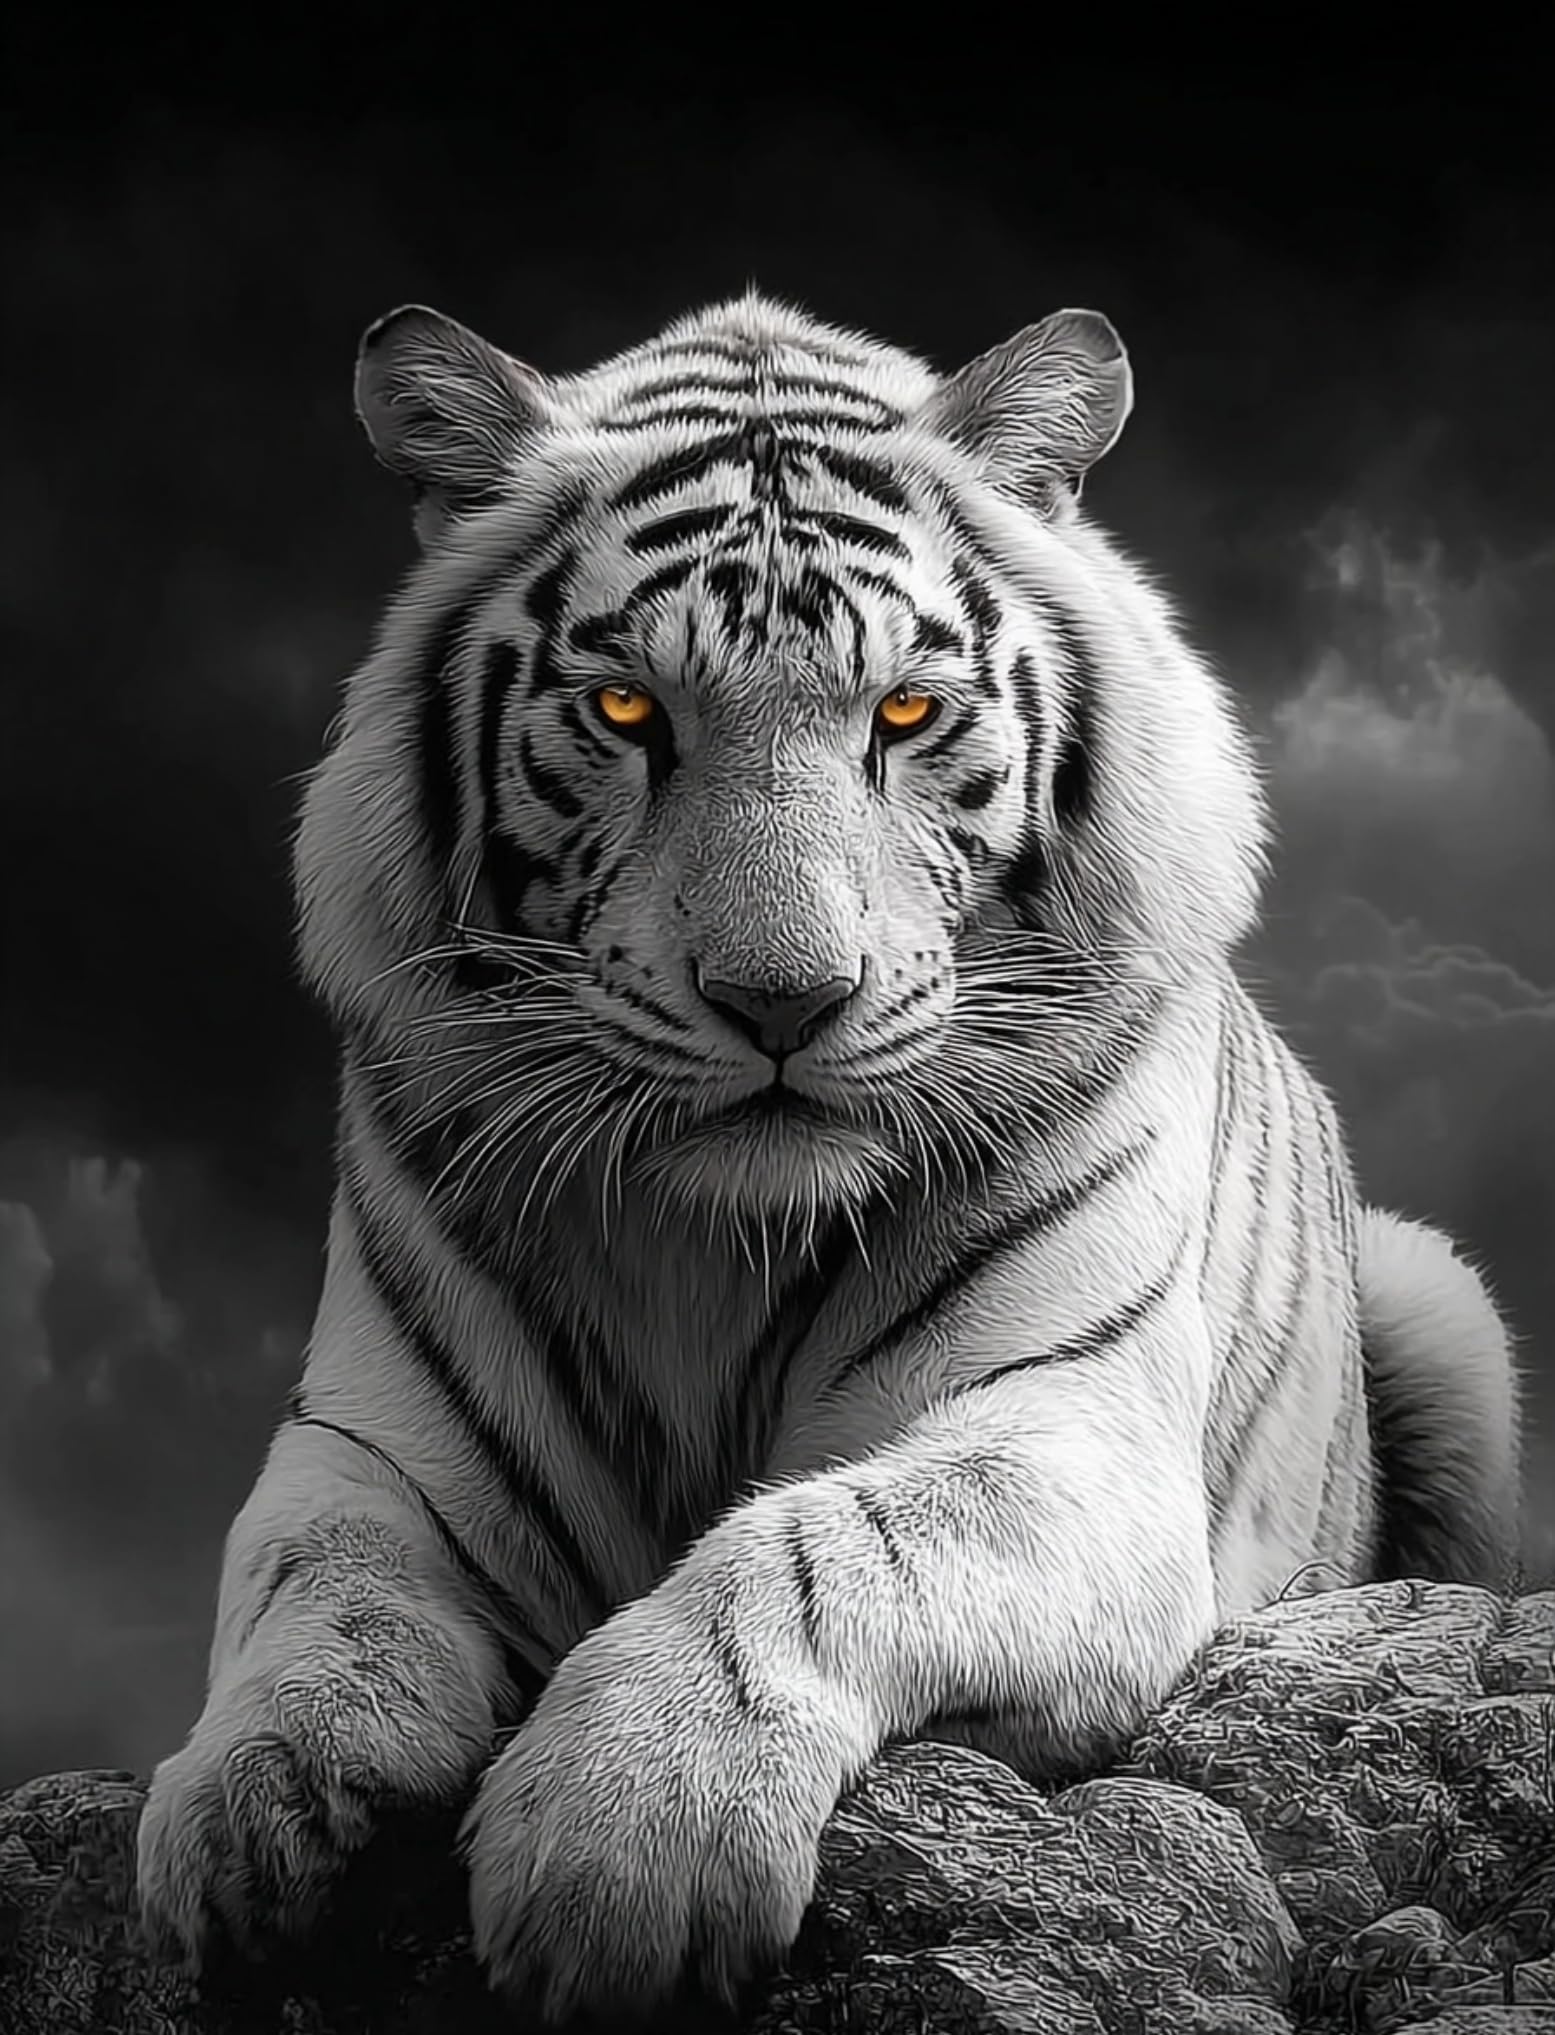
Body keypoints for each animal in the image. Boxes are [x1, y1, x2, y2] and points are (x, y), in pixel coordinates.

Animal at [134, 288, 1522, 2026]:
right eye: (627, 711)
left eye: (905, 715)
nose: (783, 1000)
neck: (713, 1242)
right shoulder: (380, 1444)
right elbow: (317, 1591)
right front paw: (239, 1823)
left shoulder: (1061, 1429)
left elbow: (811, 1549)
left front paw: (624, 1838)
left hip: (1440, 1309)